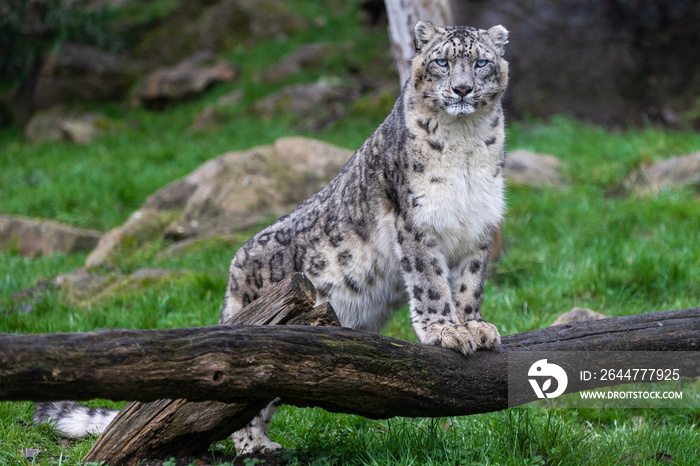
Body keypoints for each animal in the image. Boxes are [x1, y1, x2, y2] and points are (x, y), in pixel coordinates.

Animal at [32, 20, 508, 456]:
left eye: (481, 62)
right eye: (442, 61)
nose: (462, 88)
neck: (465, 147)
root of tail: (234, 268)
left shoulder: (479, 225)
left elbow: (468, 283)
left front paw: (475, 326)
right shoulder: (416, 221)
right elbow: (430, 283)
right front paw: (445, 331)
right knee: (234, 400)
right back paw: (254, 447)